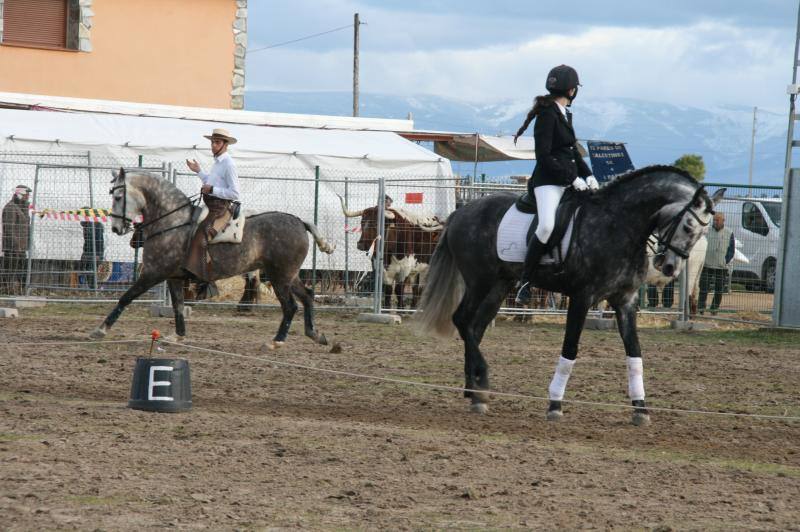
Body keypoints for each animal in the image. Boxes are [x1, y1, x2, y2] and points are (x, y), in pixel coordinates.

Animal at [90, 167, 334, 350]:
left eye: (118, 196)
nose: (116, 228)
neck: (173, 222)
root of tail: (300, 222)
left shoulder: (153, 273)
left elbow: (126, 297)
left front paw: (100, 329)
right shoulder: (173, 277)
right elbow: (178, 306)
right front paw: (178, 335)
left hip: (280, 277)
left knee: (290, 306)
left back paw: (276, 341)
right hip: (289, 275)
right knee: (308, 296)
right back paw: (315, 334)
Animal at [418, 166, 724, 424]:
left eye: (703, 232)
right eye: (688, 226)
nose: (670, 267)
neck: (619, 225)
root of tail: (461, 212)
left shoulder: (625, 301)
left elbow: (634, 353)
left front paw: (641, 409)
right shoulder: (582, 298)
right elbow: (571, 349)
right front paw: (555, 405)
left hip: (499, 285)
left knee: (475, 327)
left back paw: (475, 392)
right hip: (479, 280)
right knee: (462, 320)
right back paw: (480, 385)